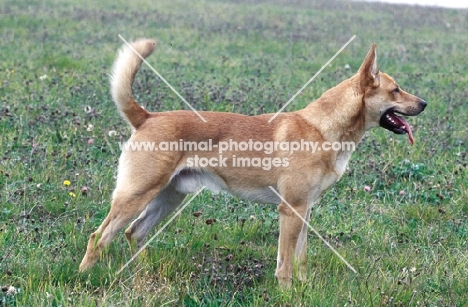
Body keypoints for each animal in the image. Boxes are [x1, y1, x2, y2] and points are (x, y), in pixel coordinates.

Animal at [79, 39, 424, 288]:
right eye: (395, 90)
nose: (424, 103)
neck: (322, 129)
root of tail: (147, 117)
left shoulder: (305, 211)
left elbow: (300, 258)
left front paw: (303, 288)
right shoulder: (291, 210)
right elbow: (285, 264)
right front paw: (287, 293)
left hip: (168, 198)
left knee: (134, 234)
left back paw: (143, 275)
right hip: (136, 197)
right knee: (99, 237)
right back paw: (84, 277)